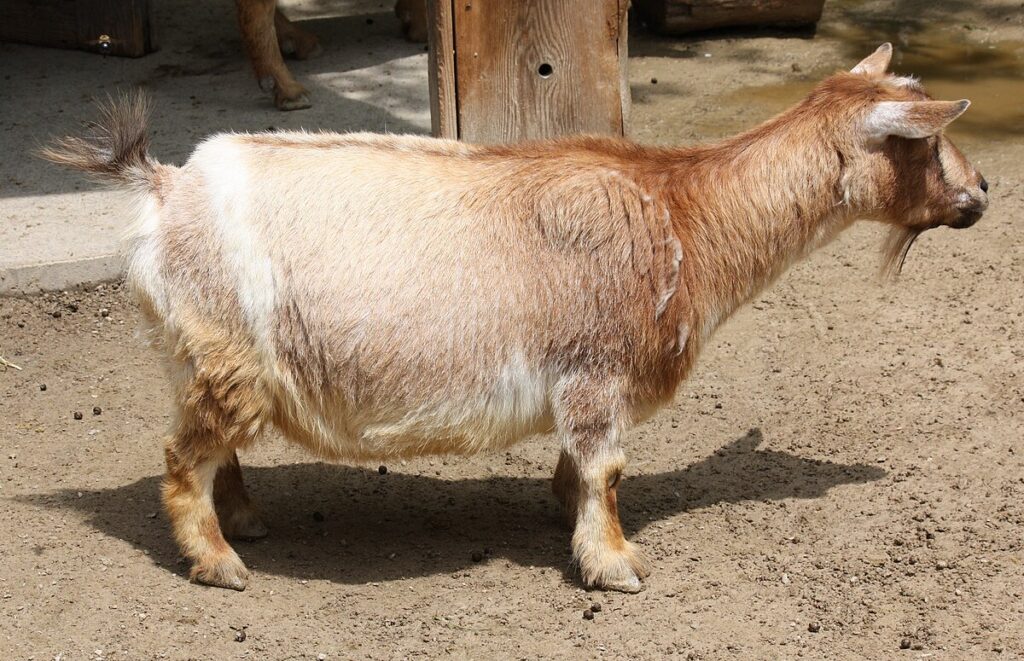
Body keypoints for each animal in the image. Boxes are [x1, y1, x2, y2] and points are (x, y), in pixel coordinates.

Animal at [43, 44, 988, 593]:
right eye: (922, 140)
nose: (982, 192)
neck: (685, 211)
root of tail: (164, 186)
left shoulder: (587, 386)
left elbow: (584, 466)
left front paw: (565, 511)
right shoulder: (599, 368)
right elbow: (608, 469)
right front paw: (614, 564)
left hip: (207, 360)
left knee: (215, 450)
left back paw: (244, 519)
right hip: (224, 355)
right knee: (180, 460)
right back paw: (218, 563)